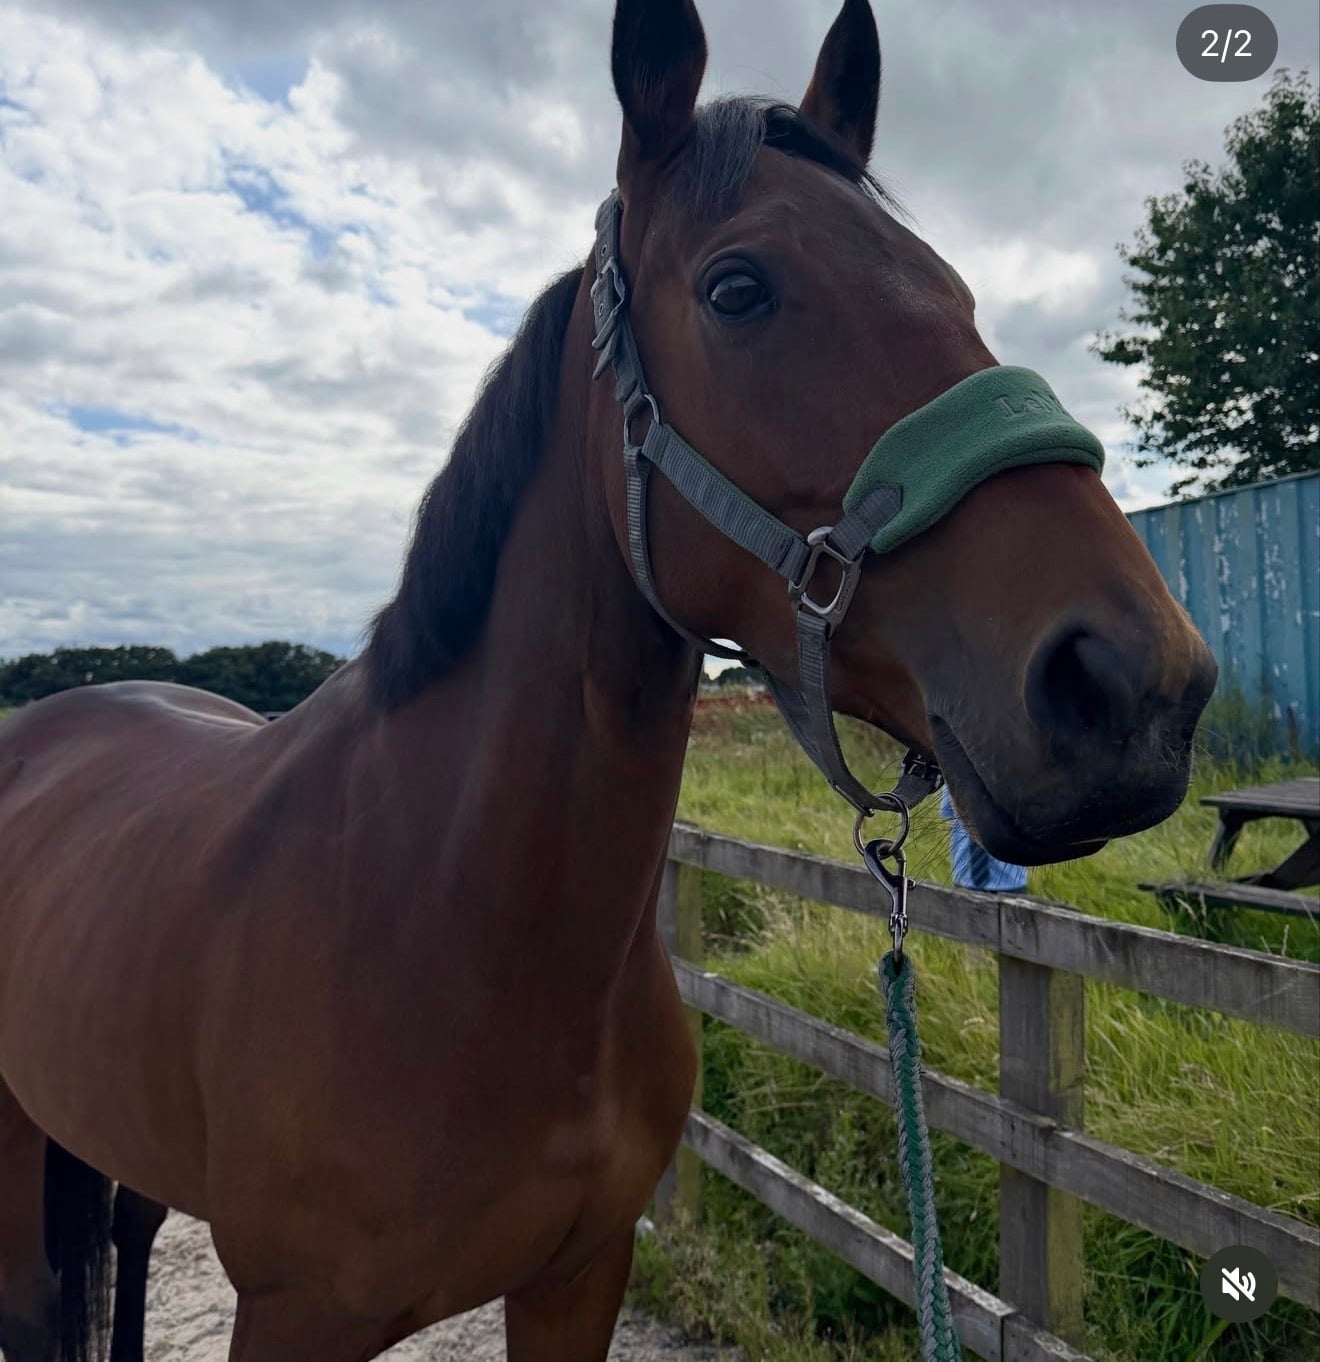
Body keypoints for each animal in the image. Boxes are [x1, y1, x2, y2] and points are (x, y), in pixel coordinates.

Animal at [0, 1, 1216, 1359]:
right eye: (738, 289)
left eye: (957, 294)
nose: (1134, 683)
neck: (444, 913)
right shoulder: (293, 1316)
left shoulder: (581, 1274)